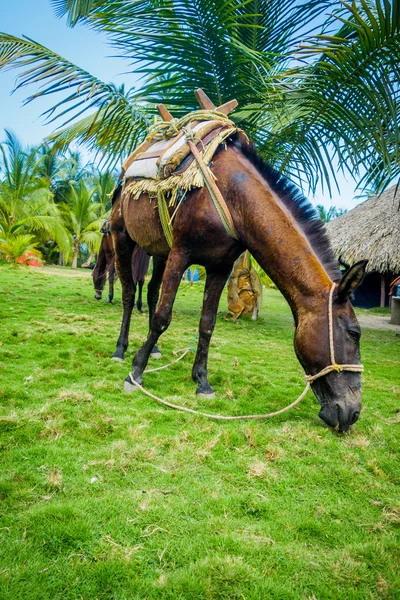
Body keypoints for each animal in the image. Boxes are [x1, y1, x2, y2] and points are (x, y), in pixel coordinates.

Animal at [111, 110, 368, 434]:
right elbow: (162, 318)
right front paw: (135, 373)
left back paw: (153, 350)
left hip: (159, 251)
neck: (233, 196)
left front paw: (202, 382)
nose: (353, 413)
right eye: (354, 333)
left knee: (151, 290)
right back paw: (121, 350)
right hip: (122, 236)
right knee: (129, 292)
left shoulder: (220, 267)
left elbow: (207, 324)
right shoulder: (181, 255)